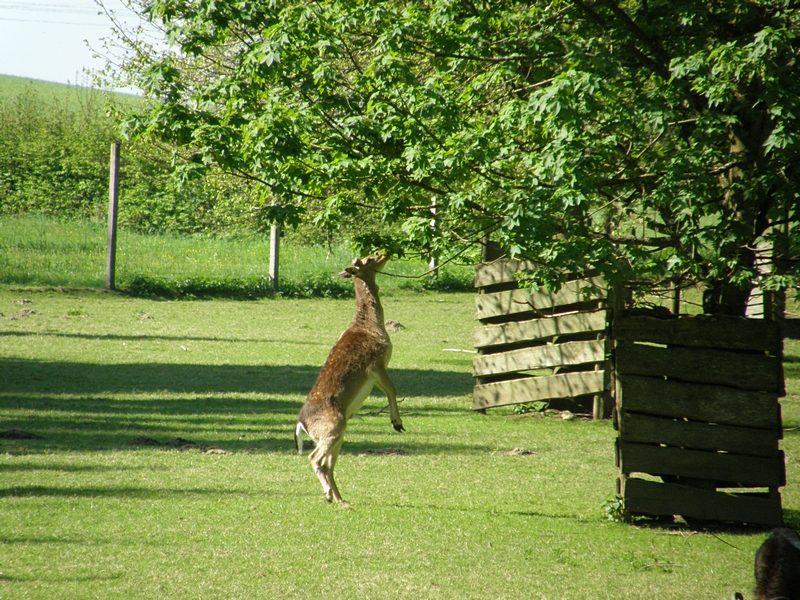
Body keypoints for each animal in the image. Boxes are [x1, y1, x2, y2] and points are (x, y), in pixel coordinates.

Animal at [294, 251, 404, 504]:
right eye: (369, 259)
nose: (384, 251)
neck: (371, 326)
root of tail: (301, 424)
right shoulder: (376, 363)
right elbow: (393, 389)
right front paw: (397, 423)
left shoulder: (374, 375)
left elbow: (389, 391)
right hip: (333, 428)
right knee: (314, 458)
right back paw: (329, 494)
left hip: (337, 434)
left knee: (328, 464)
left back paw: (339, 499)